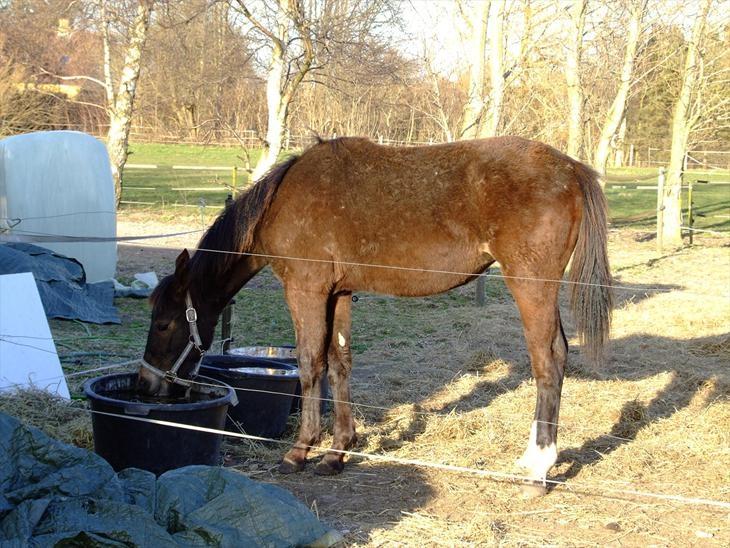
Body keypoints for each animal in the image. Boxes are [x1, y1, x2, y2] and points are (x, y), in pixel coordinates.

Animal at [136, 136, 608, 488]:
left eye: (163, 323)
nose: (145, 384)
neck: (283, 202)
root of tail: (572, 169)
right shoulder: (339, 293)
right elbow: (339, 363)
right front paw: (337, 452)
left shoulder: (306, 290)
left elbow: (310, 363)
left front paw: (301, 451)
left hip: (531, 287)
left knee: (548, 362)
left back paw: (539, 468)